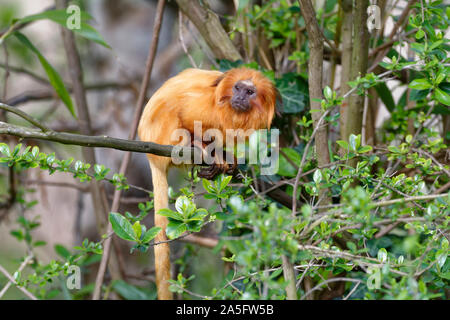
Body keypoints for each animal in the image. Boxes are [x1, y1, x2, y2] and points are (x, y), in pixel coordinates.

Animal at [137, 66, 278, 298]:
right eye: (238, 88)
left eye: (250, 92)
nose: (240, 97)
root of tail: (151, 157)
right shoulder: (205, 105)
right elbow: (185, 112)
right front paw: (204, 145)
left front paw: (227, 157)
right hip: (163, 136)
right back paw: (197, 146)